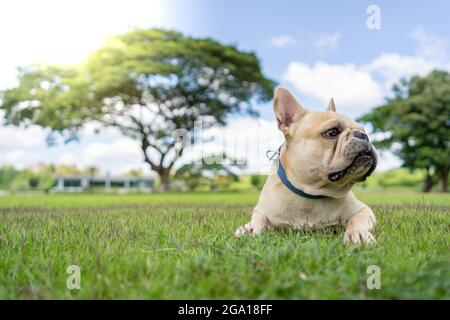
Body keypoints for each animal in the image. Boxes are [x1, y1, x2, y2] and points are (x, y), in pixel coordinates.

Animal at [236, 87, 376, 245]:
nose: (363, 135)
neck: (311, 192)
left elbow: (356, 220)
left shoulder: (364, 210)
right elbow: (258, 219)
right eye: (332, 132)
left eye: (363, 131)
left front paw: (357, 234)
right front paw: (250, 230)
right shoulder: (261, 211)